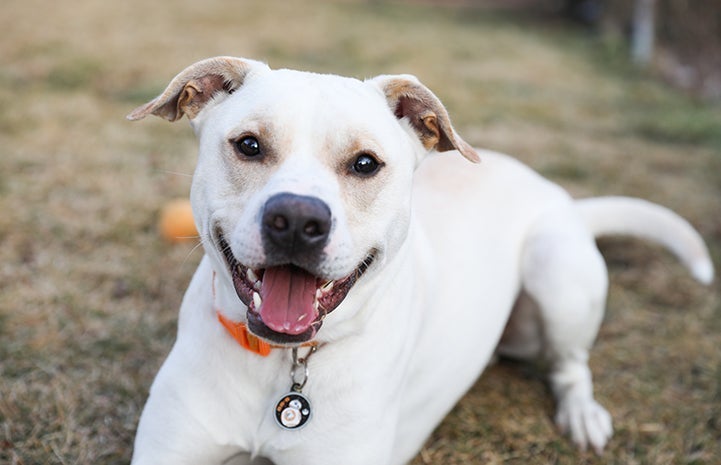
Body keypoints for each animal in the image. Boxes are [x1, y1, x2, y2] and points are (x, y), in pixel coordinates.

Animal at [126, 56, 712, 462]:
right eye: (249, 145)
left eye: (365, 163)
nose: (296, 219)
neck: (285, 364)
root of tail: (558, 194)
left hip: (557, 271)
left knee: (571, 365)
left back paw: (582, 414)